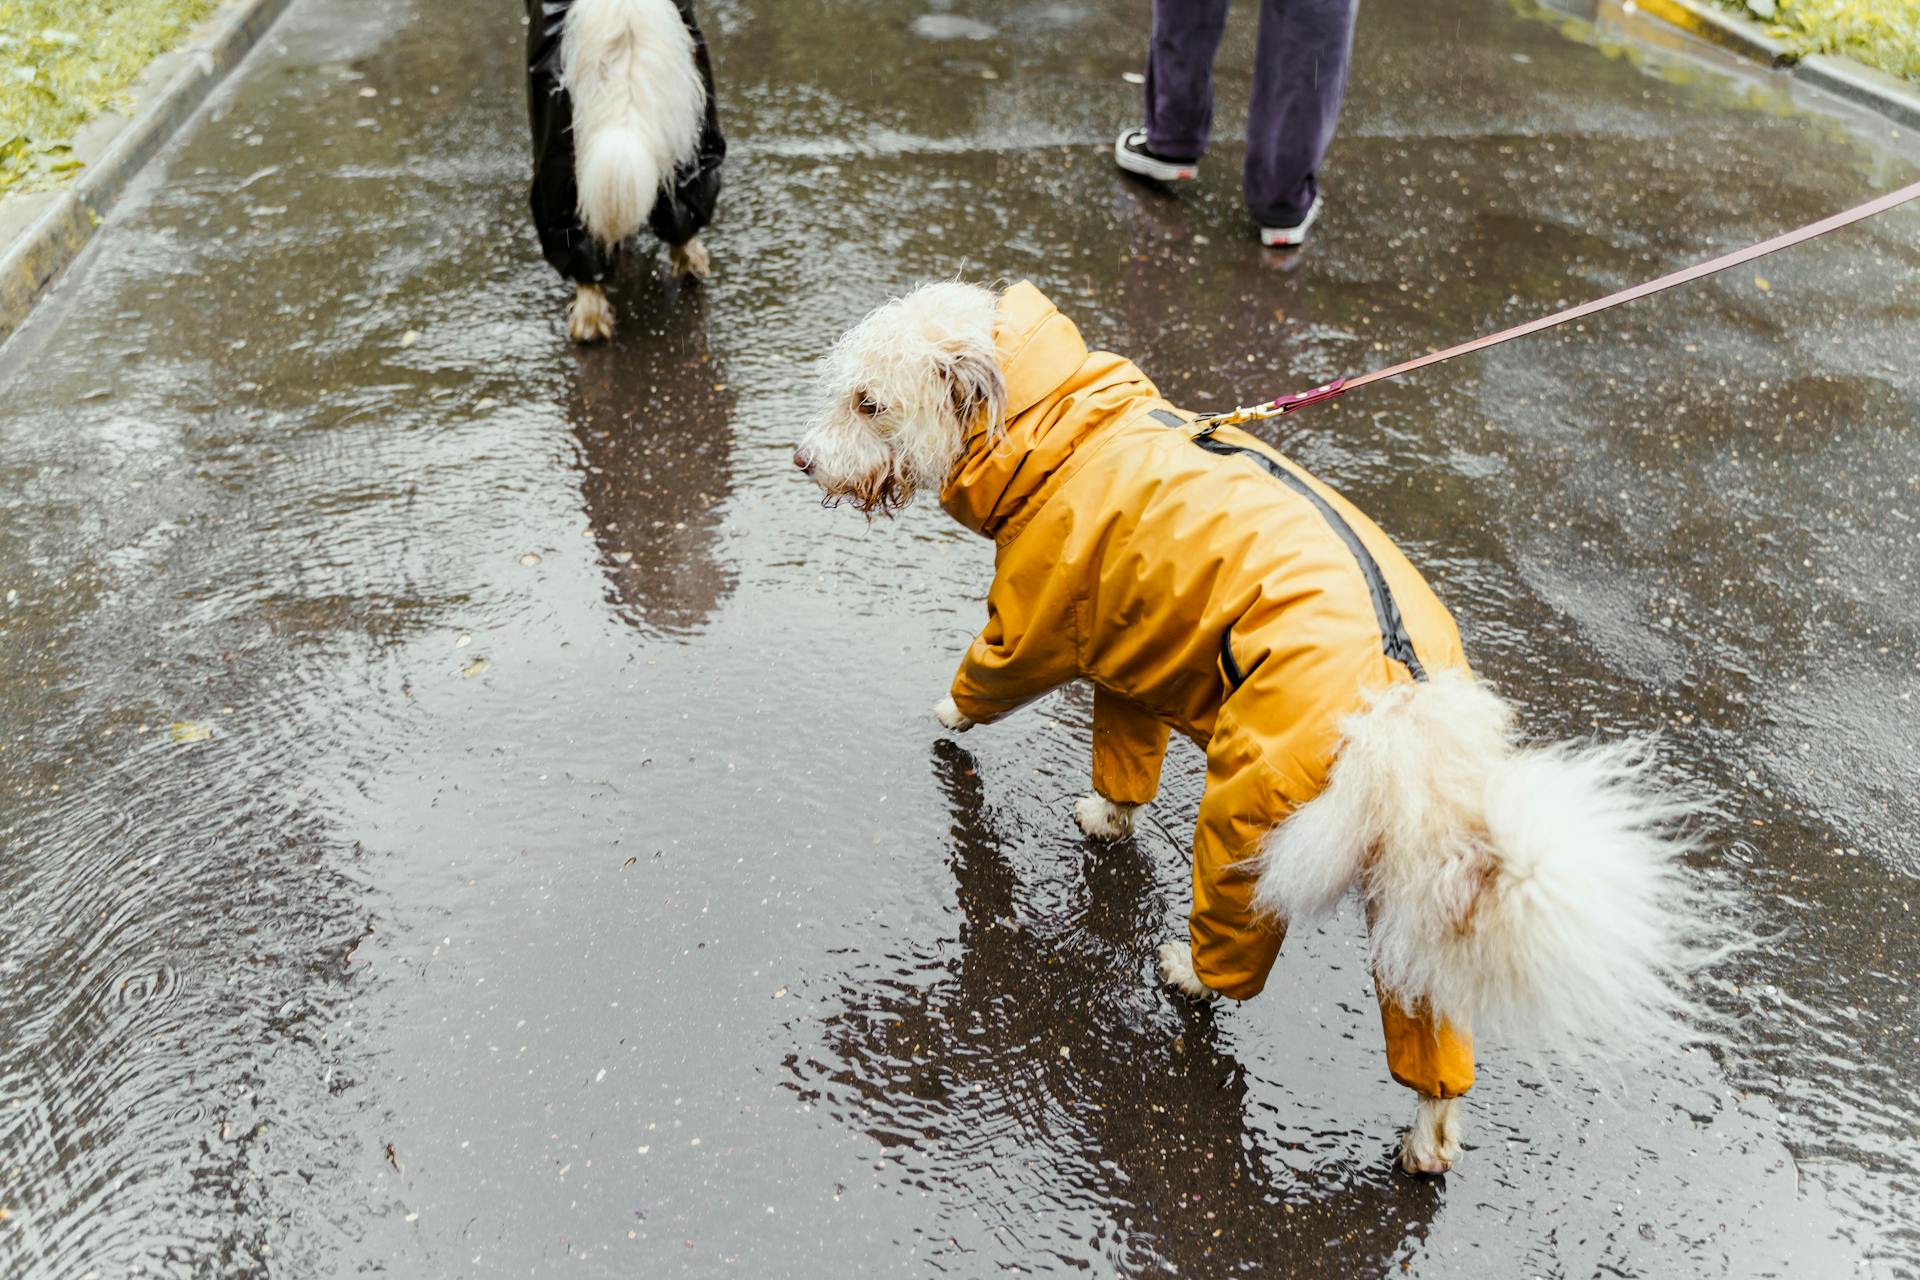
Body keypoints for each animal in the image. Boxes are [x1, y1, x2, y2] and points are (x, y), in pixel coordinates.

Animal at [787, 282, 1720, 1182]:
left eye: (869, 403)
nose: (800, 459)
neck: (1066, 426)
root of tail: (1402, 706)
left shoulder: (1040, 621)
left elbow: (988, 678)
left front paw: (948, 719)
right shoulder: (1129, 661)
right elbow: (1125, 765)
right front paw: (1109, 817)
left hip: (1248, 818)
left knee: (1236, 955)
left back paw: (1189, 975)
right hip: (1409, 892)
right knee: (1432, 1038)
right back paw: (1428, 1142)